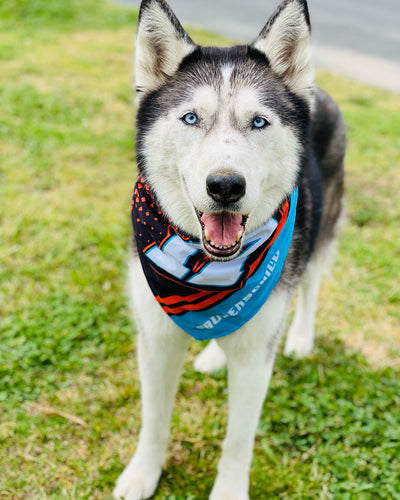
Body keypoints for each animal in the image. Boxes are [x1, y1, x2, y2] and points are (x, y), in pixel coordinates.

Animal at [114, 0, 346, 498]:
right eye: (190, 118)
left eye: (259, 121)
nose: (224, 186)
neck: (209, 274)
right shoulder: (156, 340)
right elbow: (153, 419)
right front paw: (143, 474)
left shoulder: (257, 359)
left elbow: (239, 440)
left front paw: (229, 490)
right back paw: (215, 353)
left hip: (321, 234)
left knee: (312, 286)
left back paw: (301, 338)